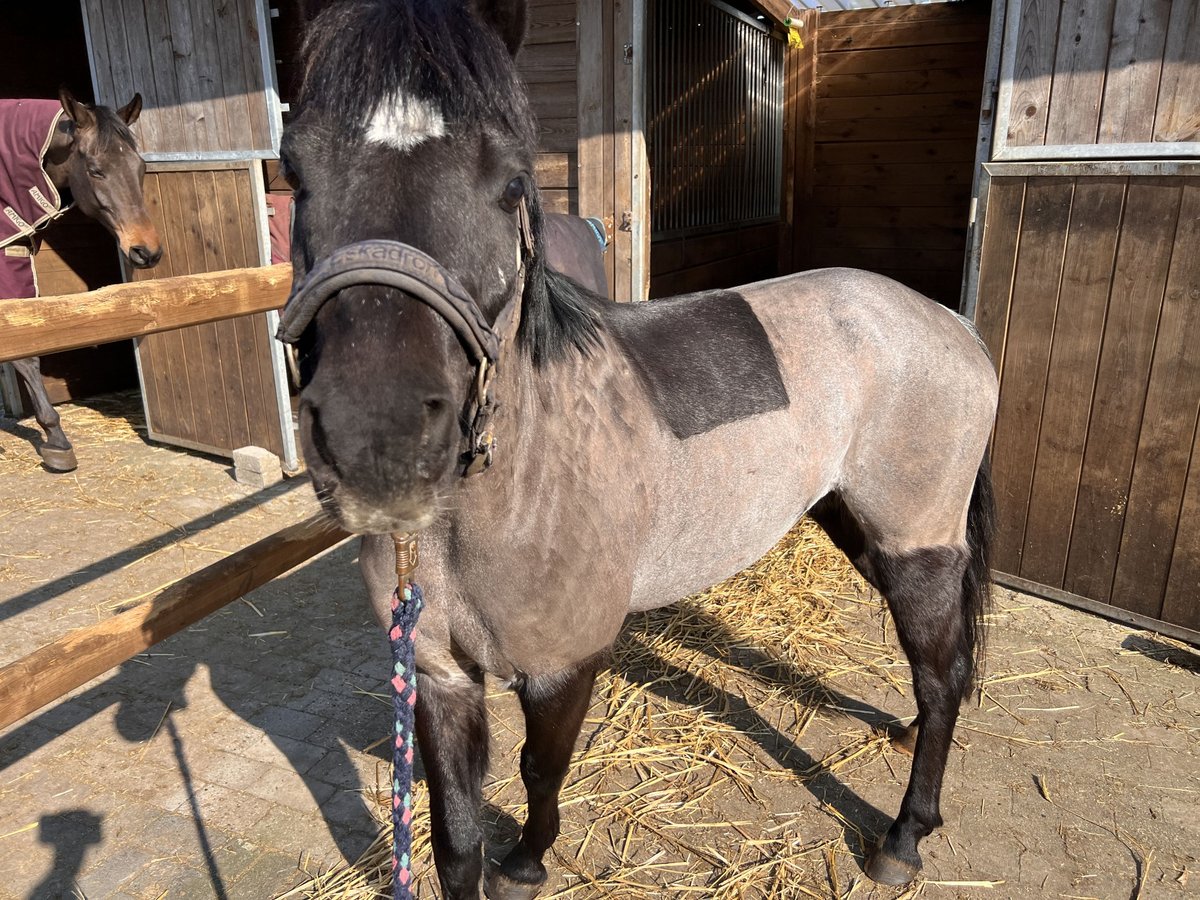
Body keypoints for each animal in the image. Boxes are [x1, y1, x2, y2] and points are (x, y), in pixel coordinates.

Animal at [276, 3, 998, 897]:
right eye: (295, 169)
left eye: (510, 180)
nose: (378, 440)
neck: (518, 488)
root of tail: (949, 322)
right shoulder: (439, 675)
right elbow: (454, 838)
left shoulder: (564, 664)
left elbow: (540, 768)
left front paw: (528, 862)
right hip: (856, 525)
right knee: (944, 669)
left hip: (916, 542)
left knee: (941, 675)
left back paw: (903, 837)